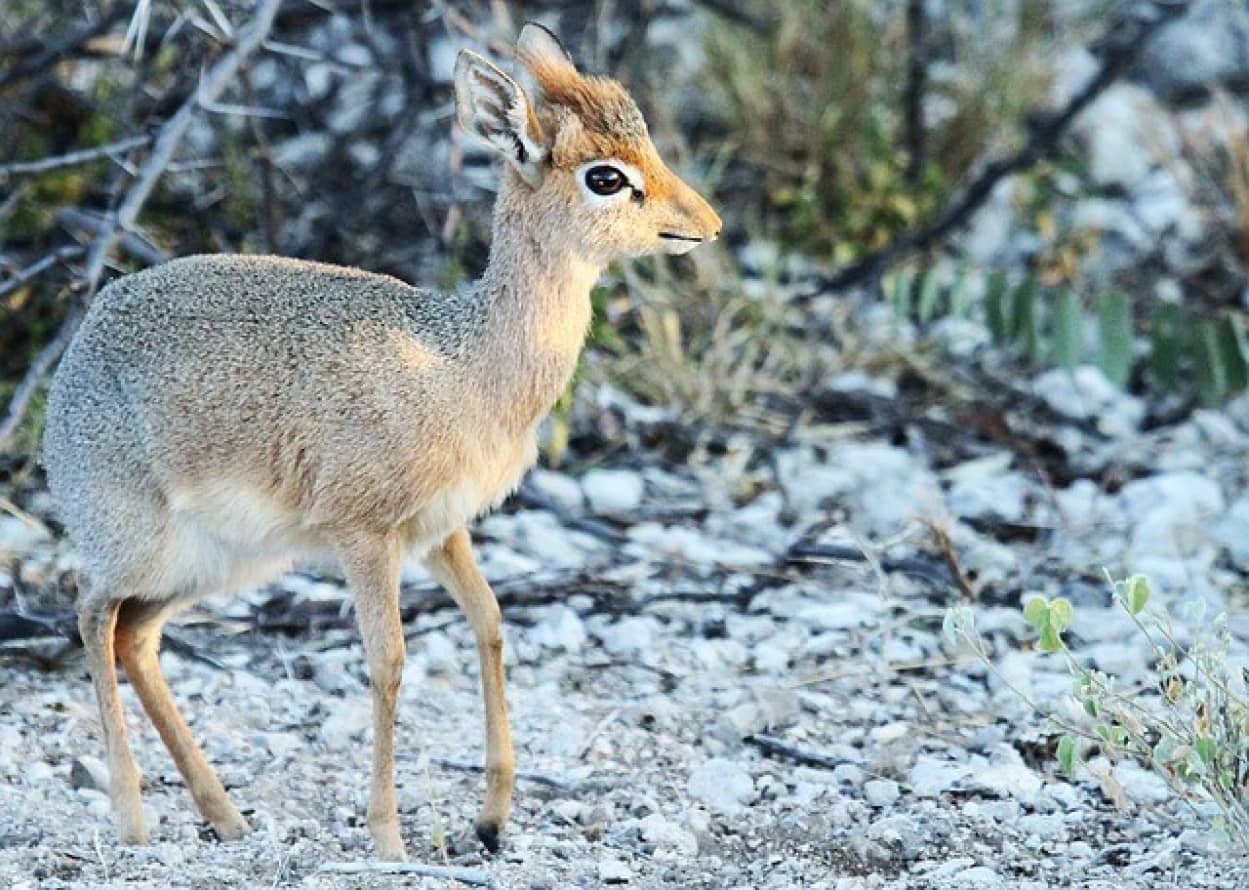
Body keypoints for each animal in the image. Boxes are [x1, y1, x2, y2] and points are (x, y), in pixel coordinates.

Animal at [44, 20, 719, 858]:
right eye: (604, 176)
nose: (707, 225)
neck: (466, 363)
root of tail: (76, 353)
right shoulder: (366, 535)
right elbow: (389, 662)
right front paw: (389, 837)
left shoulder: (442, 530)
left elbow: (490, 623)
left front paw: (492, 816)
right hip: (141, 546)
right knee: (89, 612)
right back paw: (132, 816)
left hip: (220, 563)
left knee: (134, 638)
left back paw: (225, 815)